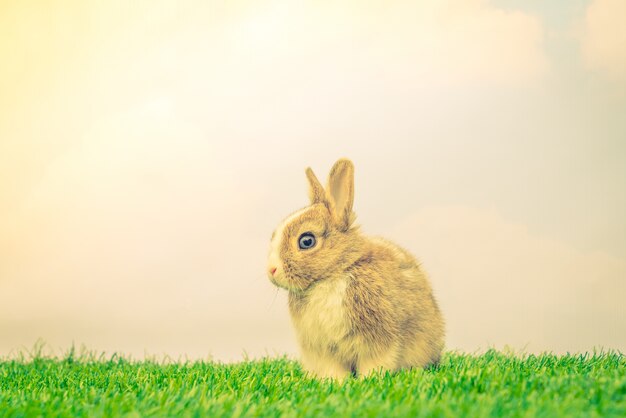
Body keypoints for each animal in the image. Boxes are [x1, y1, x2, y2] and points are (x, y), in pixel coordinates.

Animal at [266, 158, 442, 378]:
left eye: (306, 241)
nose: (271, 270)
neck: (333, 274)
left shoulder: (378, 338)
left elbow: (376, 362)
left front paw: (369, 380)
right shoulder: (323, 348)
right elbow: (333, 369)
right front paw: (336, 382)